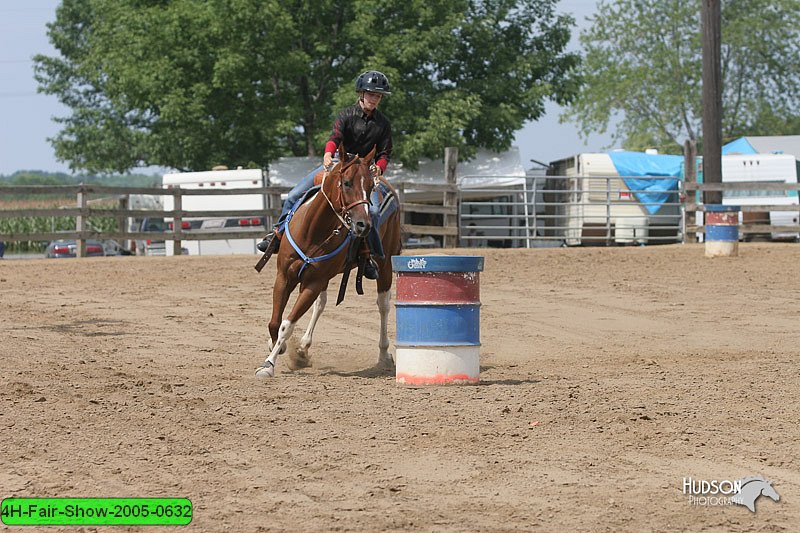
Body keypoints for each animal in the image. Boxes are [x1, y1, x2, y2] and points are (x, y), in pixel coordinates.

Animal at [256, 145, 404, 378]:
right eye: (347, 182)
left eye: (370, 187)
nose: (363, 225)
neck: (313, 230)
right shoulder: (285, 276)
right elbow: (275, 322)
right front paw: (277, 347)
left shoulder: (313, 283)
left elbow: (287, 325)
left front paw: (268, 364)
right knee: (321, 303)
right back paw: (303, 348)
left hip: (386, 263)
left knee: (383, 305)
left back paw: (383, 355)